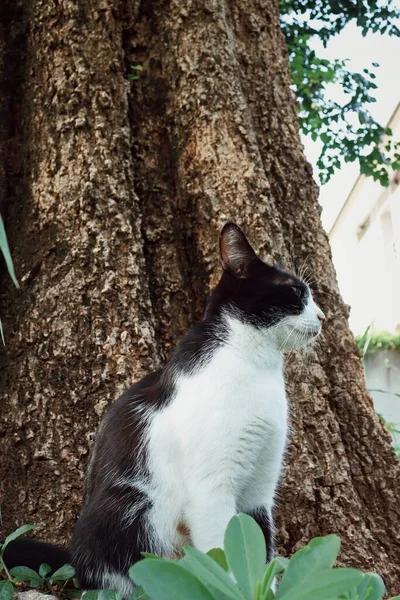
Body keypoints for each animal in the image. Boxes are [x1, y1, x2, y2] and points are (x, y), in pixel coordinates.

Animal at [3, 221, 324, 596]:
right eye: (296, 292)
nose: (322, 316)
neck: (254, 362)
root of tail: (74, 557)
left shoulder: (260, 488)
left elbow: (261, 550)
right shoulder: (210, 489)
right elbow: (223, 552)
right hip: (129, 506)